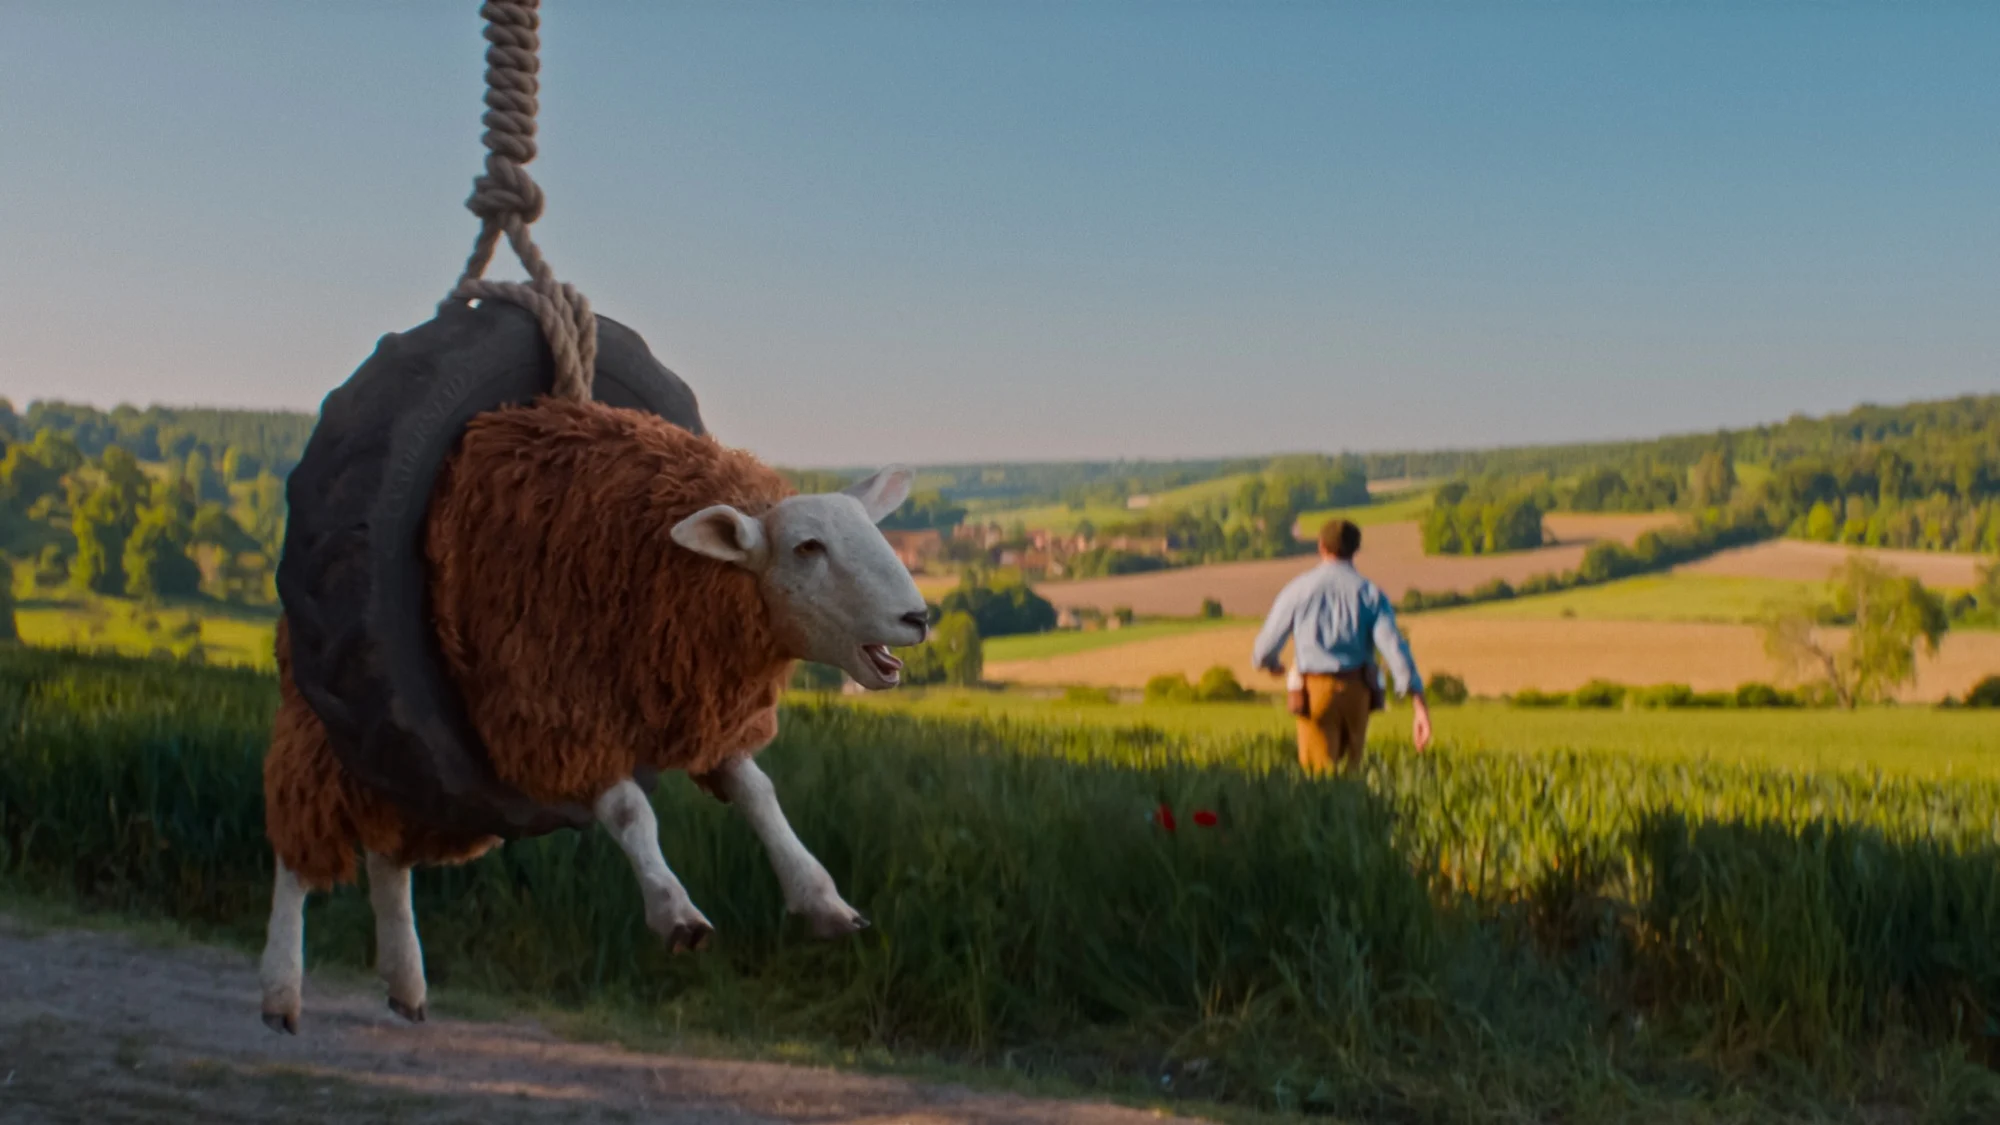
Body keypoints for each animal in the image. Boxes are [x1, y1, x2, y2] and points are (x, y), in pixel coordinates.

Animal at [259, 396, 930, 1033]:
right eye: (807, 547)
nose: (919, 617)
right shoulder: (562, 712)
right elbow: (632, 811)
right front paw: (676, 912)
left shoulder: (699, 713)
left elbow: (760, 795)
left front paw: (822, 900)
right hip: (332, 731)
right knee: (297, 850)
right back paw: (281, 990)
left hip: (419, 774)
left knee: (386, 854)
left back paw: (405, 981)